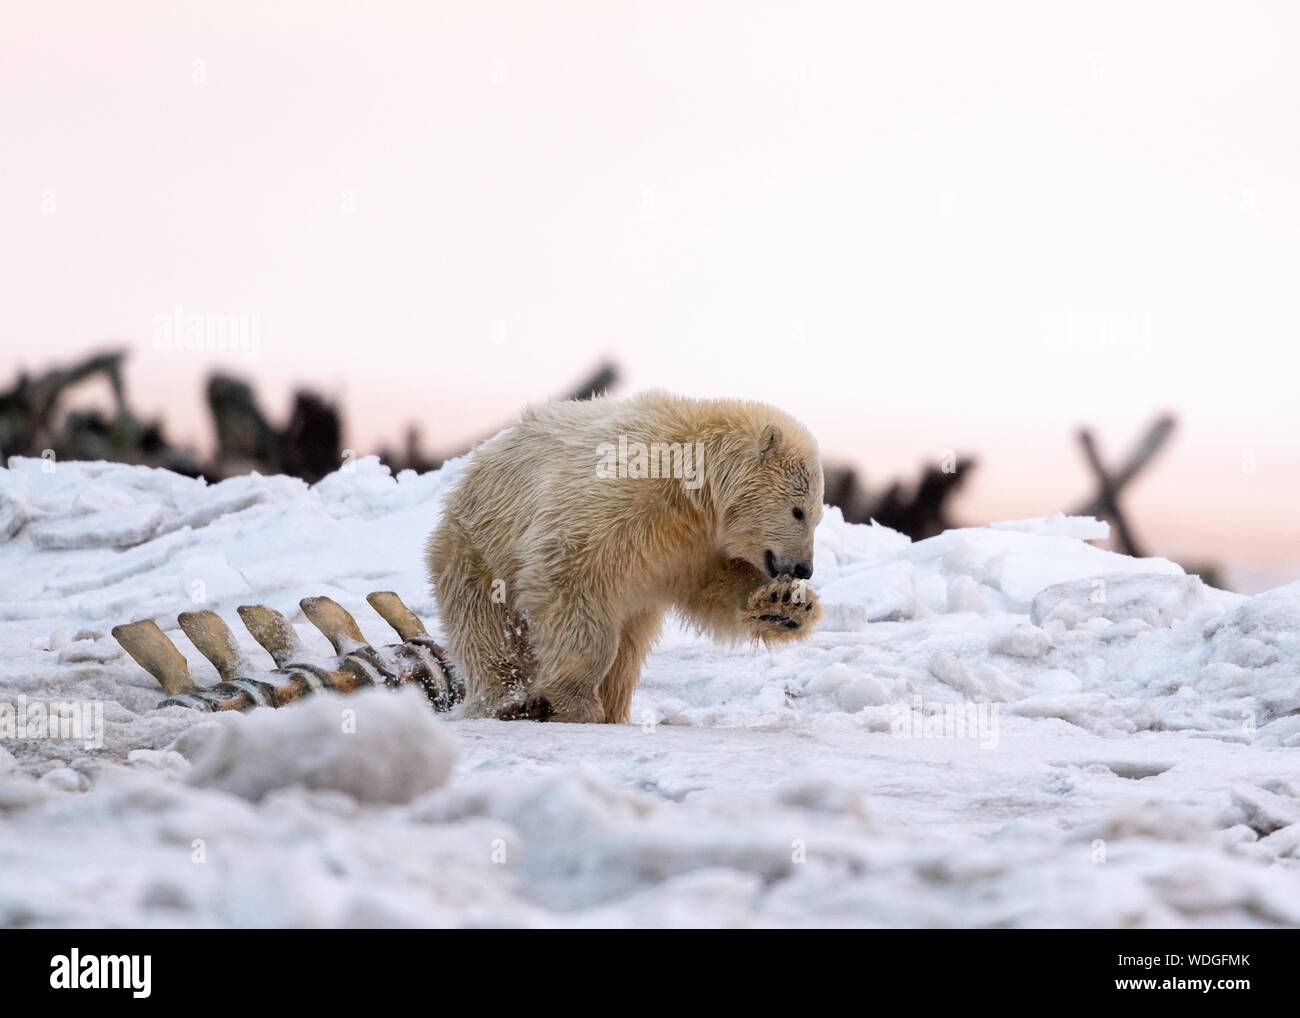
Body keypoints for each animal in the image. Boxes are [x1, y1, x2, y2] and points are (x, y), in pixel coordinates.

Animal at [425, 391, 824, 723]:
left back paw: (614, 710)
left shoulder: (696, 546)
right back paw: (512, 700)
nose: (804, 568)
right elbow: (571, 579)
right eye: (798, 512)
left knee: (629, 652)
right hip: (479, 545)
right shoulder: (623, 499)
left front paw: (786, 605)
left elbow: (717, 587)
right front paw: (577, 700)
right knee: (488, 629)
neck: (691, 480)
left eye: (817, 516)